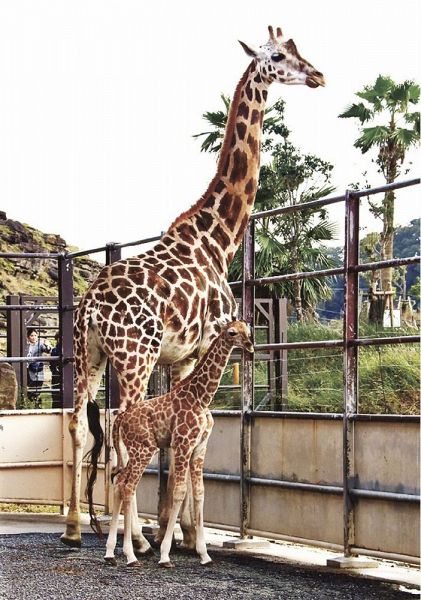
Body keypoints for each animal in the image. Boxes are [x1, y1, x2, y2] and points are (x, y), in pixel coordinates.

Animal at [104, 318, 253, 568]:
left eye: (248, 330)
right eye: (232, 332)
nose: (251, 347)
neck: (201, 397)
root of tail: (121, 419)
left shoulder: (200, 447)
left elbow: (200, 492)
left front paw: (204, 554)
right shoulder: (183, 444)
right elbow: (180, 491)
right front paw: (165, 555)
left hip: (134, 451)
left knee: (119, 481)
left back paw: (110, 553)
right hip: (144, 448)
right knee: (128, 486)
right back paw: (131, 555)